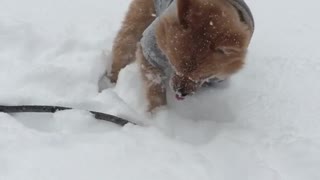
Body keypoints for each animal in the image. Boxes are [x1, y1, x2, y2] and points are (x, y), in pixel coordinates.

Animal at [109, 0, 254, 111]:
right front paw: (159, 112)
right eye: (174, 66)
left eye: (202, 76)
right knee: (124, 42)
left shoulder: (217, 79)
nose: (180, 92)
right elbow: (155, 85)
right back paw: (113, 79)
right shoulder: (151, 51)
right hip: (142, 16)